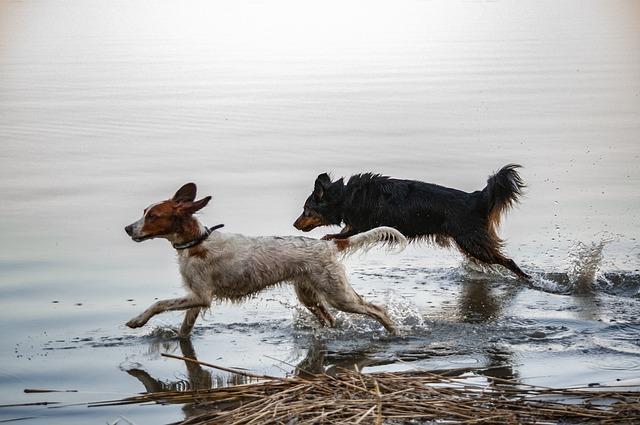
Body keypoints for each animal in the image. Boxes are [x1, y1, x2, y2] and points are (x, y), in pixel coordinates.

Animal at [124, 184, 404, 336]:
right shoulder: (196, 298)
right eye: (144, 212)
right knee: (331, 319)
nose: (127, 228)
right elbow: (184, 329)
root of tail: (328, 244)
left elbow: (159, 304)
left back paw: (394, 333)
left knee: (377, 310)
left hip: (338, 295)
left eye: (152, 216)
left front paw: (137, 321)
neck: (197, 243)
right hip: (310, 296)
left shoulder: (201, 296)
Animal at [296, 165, 528, 278]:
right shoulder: (355, 227)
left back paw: (525, 278)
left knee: (508, 261)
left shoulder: (361, 227)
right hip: (470, 244)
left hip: (472, 242)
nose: (294, 225)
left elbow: (334, 237)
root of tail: (476, 197)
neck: (345, 197)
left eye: (306, 211)